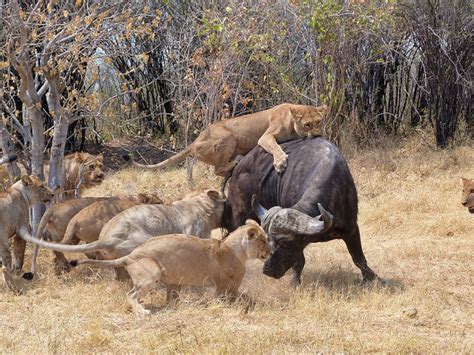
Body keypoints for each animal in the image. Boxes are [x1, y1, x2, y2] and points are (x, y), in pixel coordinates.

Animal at [74, 220, 270, 318]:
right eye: (264, 240)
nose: (270, 252)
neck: (238, 249)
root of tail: (130, 255)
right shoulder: (225, 286)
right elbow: (235, 298)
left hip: (172, 283)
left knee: (168, 299)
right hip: (152, 274)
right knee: (131, 294)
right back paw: (142, 312)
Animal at [130, 103, 330, 177]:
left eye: (319, 122)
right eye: (307, 124)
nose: (318, 134)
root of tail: (195, 141)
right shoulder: (265, 137)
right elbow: (275, 147)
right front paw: (280, 163)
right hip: (228, 138)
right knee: (217, 170)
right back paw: (235, 164)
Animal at [223, 137, 382, 286]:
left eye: (285, 244)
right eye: (268, 240)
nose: (268, 270)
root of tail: (237, 167)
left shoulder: (351, 228)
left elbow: (358, 258)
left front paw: (373, 278)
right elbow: (299, 262)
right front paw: (294, 282)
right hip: (239, 217)